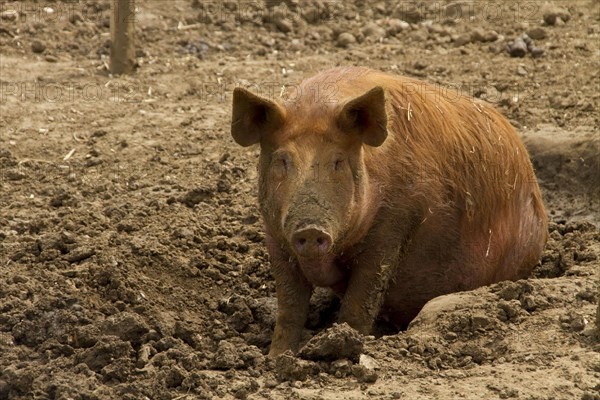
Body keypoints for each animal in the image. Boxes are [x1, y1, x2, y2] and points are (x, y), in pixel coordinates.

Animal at [230, 66, 548, 356]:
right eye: (282, 160)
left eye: (338, 162)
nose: (310, 228)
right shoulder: (275, 235)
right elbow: (289, 305)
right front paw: (275, 358)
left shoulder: (394, 225)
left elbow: (363, 297)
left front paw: (345, 345)